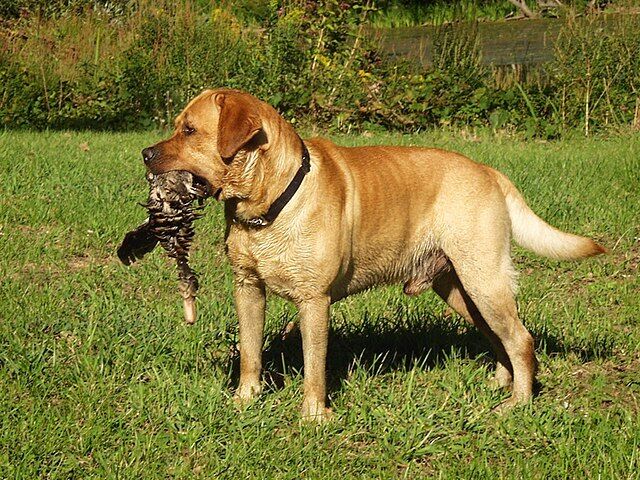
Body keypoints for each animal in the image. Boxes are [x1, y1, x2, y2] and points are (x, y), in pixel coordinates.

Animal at [141, 87, 604, 420]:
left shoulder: (314, 301)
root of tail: (490, 171)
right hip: (460, 289)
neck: (270, 204)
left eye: (189, 130)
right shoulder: (248, 288)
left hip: (484, 279)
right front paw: (245, 400)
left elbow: (314, 365)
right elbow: (250, 354)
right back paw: (500, 383)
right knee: (499, 337)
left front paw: (314, 416)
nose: (145, 153)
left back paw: (518, 402)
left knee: (521, 339)